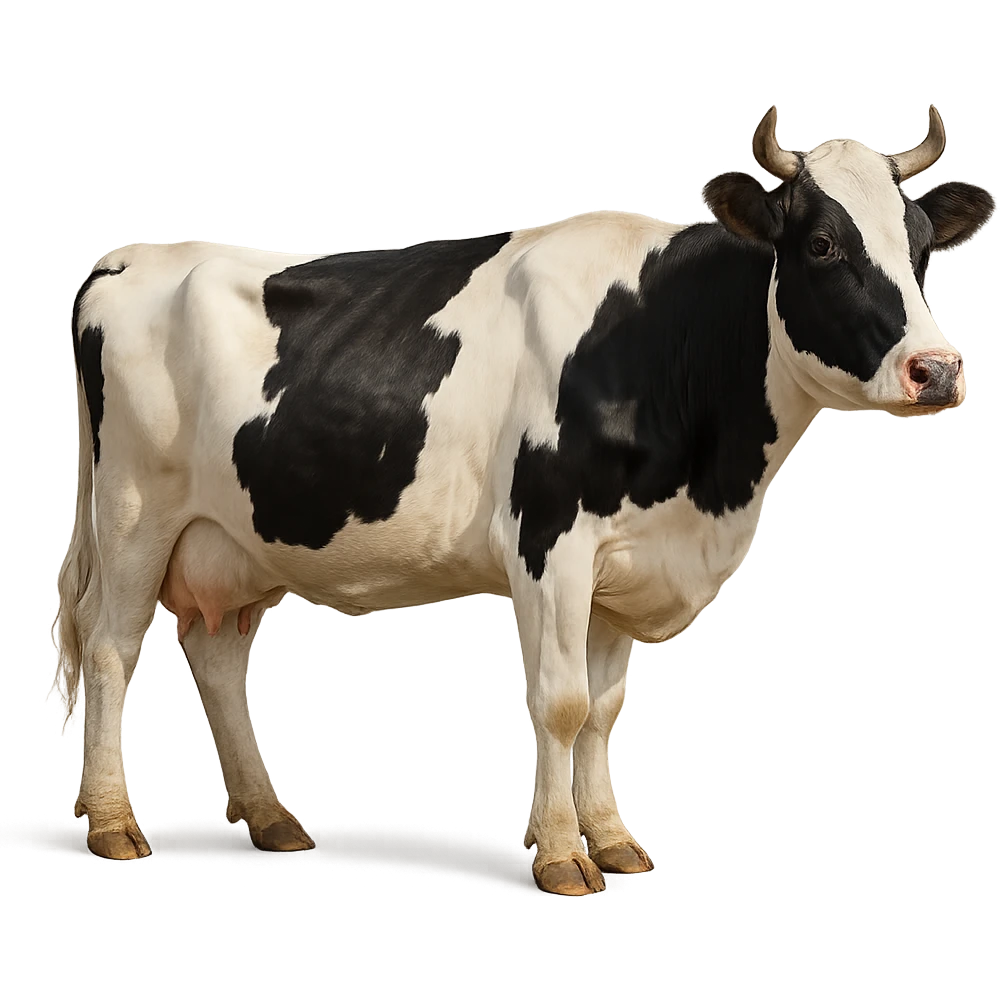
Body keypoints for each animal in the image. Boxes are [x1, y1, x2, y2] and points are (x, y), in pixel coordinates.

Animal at [53, 105, 993, 896]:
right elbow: (563, 701)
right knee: (108, 648)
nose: (938, 369)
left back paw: (268, 817)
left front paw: (611, 839)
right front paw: (561, 855)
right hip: (134, 514)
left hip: (236, 534)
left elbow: (606, 709)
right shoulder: (552, 538)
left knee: (215, 655)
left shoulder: (626, 559)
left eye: (922, 248)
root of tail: (131, 254)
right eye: (825, 245)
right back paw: (111, 824)